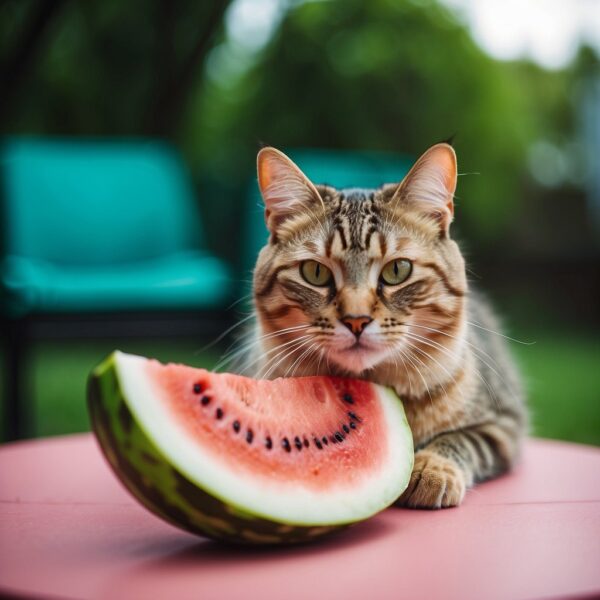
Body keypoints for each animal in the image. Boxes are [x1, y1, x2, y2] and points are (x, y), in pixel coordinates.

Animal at [244, 143, 524, 508]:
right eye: (315, 273)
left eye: (397, 270)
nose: (356, 319)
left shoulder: (503, 424)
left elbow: (460, 439)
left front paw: (432, 468)